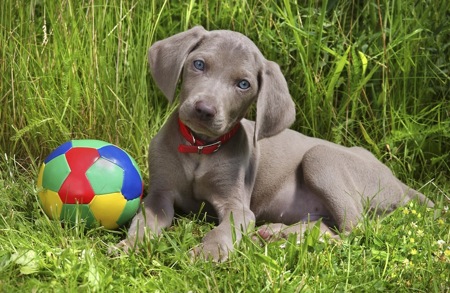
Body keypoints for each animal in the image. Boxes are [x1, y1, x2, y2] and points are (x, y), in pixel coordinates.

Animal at [116, 25, 432, 260]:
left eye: (243, 84)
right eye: (199, 64)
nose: (204, 110)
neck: (200, 147)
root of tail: (399, 182)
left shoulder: (238, 206)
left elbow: (222, 230)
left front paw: (208, 252)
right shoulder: (159, 194)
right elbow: (145, 220)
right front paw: (130, 245)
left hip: (321, 157)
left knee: (355, 232)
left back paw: (279, 237)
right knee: (329, 227)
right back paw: (277, 233)